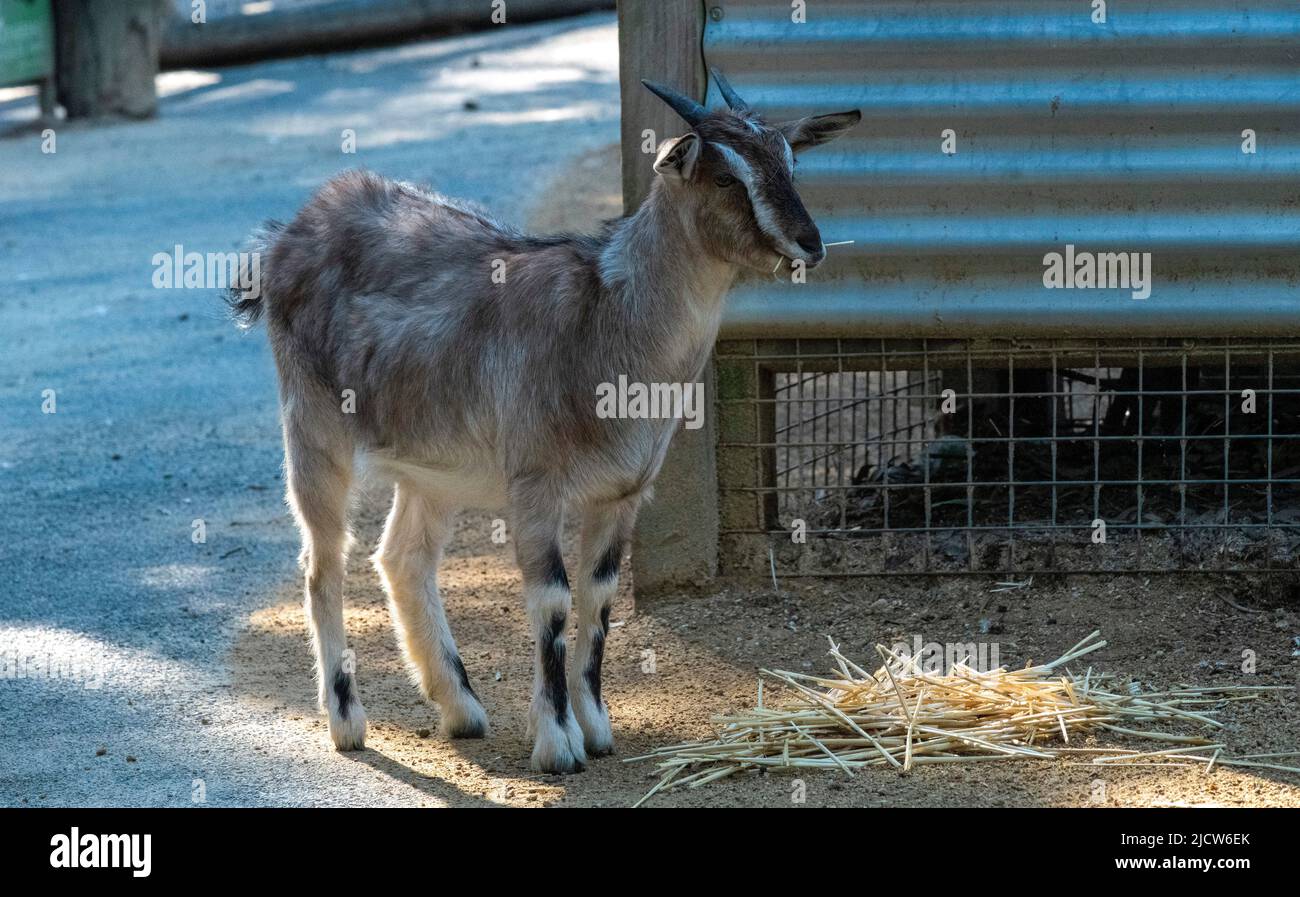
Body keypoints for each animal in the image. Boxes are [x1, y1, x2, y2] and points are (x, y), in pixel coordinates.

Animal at [231, 71, 863, 769]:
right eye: (725, 177)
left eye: (790, 162)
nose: (811, 244)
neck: (606, 322)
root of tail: (289, 234)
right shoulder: (535, 485)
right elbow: (554, 599)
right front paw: (558, 743)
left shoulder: (622, 493)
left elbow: (600, 595)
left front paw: (597, 725)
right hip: (313, 428)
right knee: (323, 561)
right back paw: (347, 722)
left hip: (433, 468)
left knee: (402, 557)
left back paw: (461, 709)